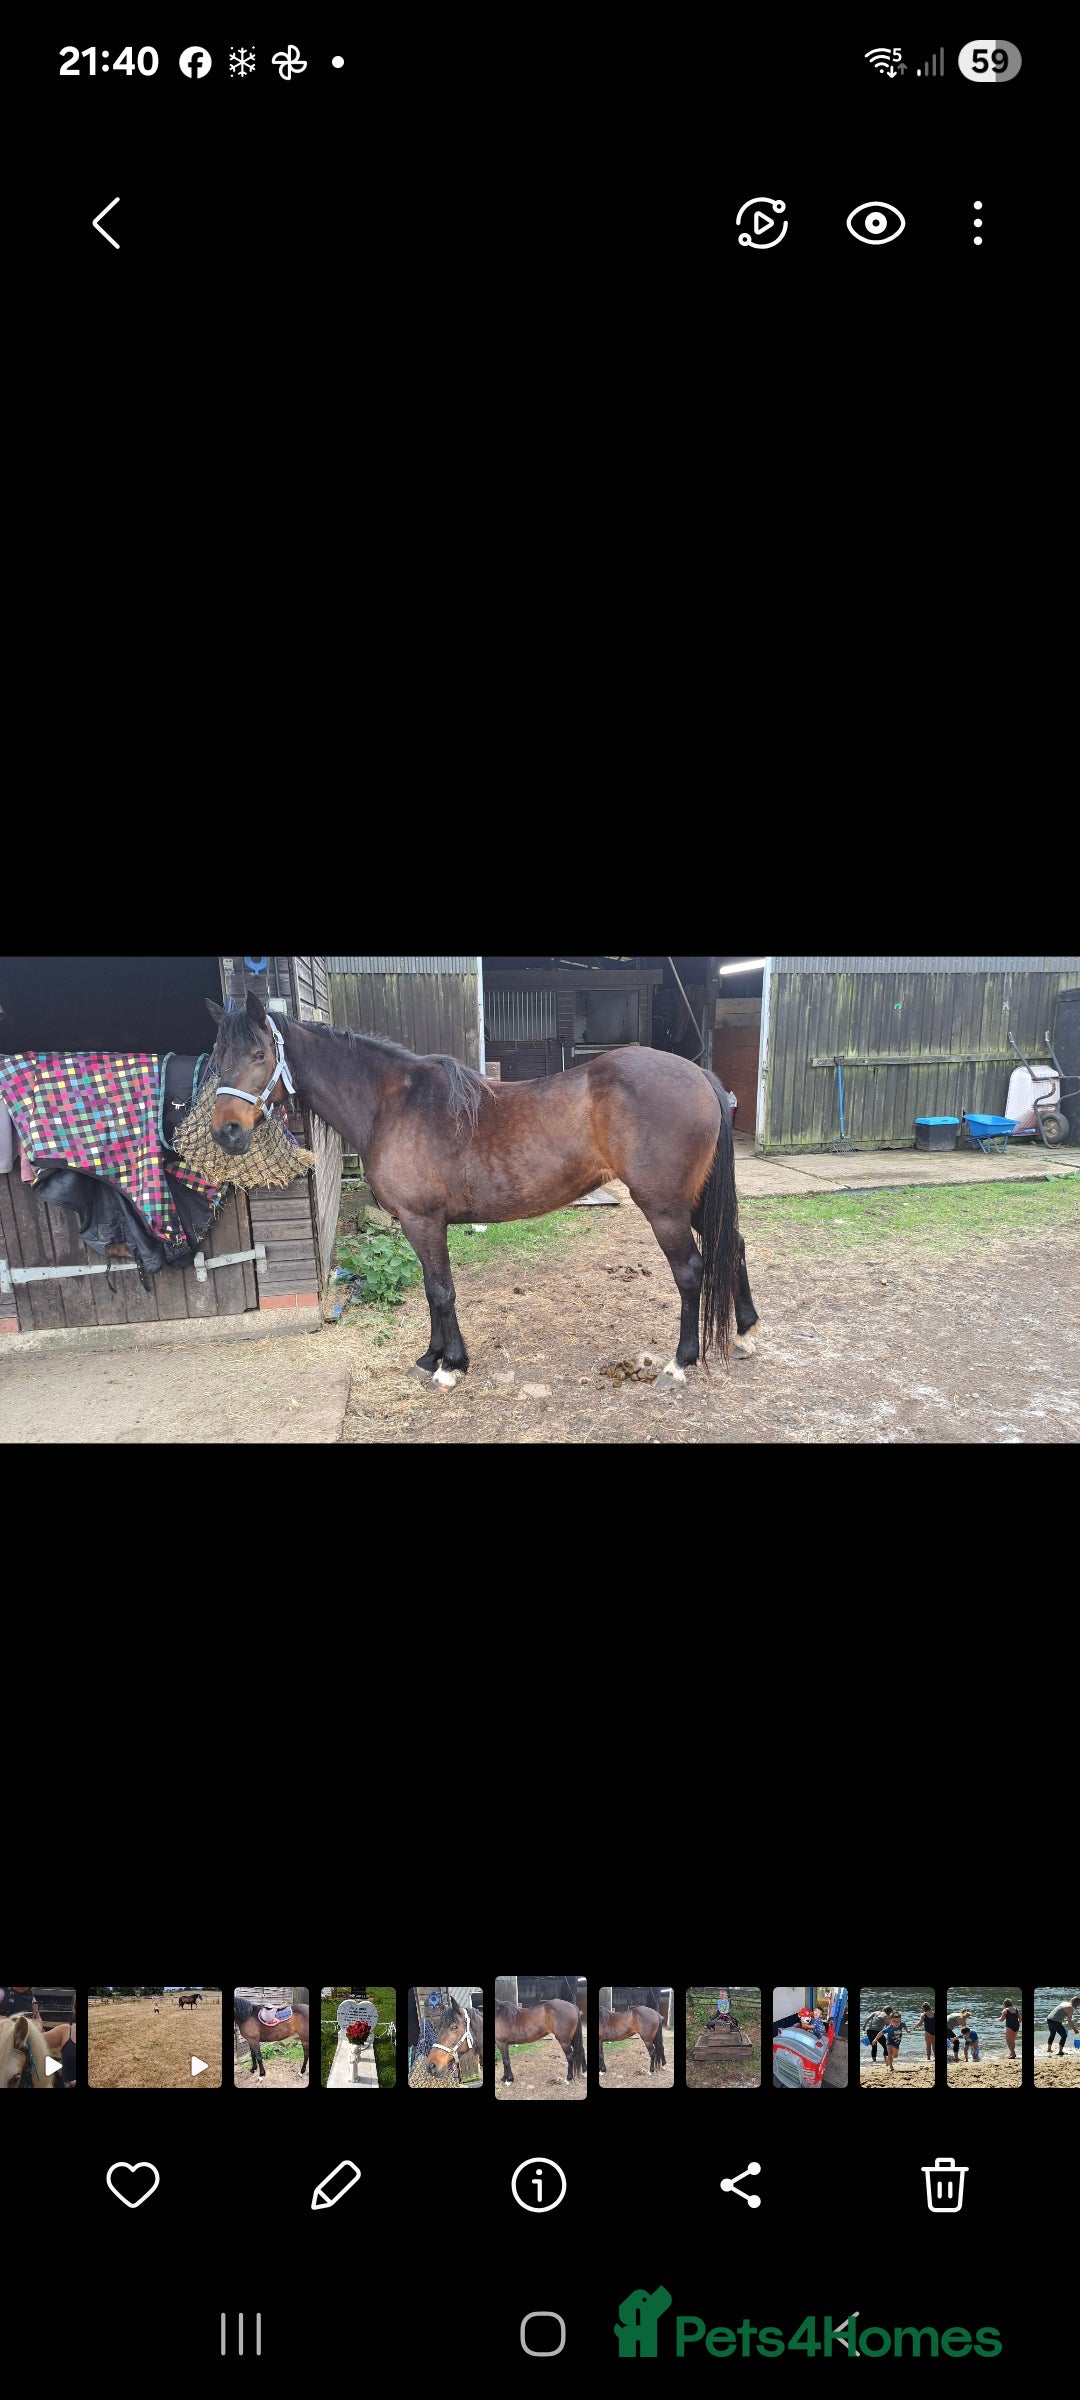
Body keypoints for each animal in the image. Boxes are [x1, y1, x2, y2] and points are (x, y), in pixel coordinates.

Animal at [205, 992, 760, 1387]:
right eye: (216, 1057)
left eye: (259, 1053)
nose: (226, 1132)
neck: (392, 1105)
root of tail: (700, 1075)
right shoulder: (419, 1225)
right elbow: (432, 1289)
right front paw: (431, 1357)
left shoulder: (422, 1220)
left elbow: (440, 1289)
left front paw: (450, 1366)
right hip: (693, 1201)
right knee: (732, 1244)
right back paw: (745, 1333)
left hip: (663, 1206)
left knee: (691, 1271)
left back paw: (680, 1364)